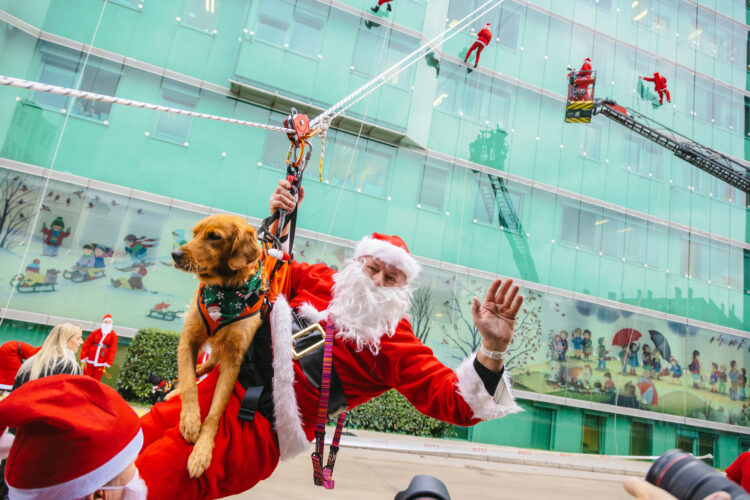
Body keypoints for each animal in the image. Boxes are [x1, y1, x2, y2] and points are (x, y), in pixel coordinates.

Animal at [172, 213, 266, 478]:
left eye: (214, 237)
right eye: (194, 234)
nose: (175, 254)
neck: (226, 291)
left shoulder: (234, 357)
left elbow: (216, 410)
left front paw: (202, 452)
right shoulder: (189, 339)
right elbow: (189, 385)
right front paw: (190, 421)